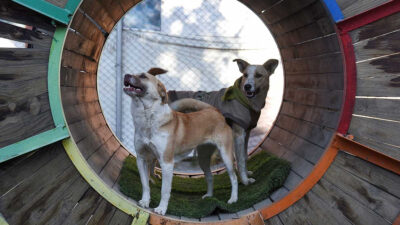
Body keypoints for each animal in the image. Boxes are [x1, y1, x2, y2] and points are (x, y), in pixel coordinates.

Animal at [123, 68, 238, 214]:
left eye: (143, 76)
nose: (125, 75)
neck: (148, 118)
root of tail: (215, 111)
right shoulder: (141, 158)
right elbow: (145, 184)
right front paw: (145, 201)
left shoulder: (166, 163)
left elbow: (164, 190)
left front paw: (161, 209)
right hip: (203, 158)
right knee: (210, 177)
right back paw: (209, 196)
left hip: (226, 156)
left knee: (234, 178)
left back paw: (233, 199)